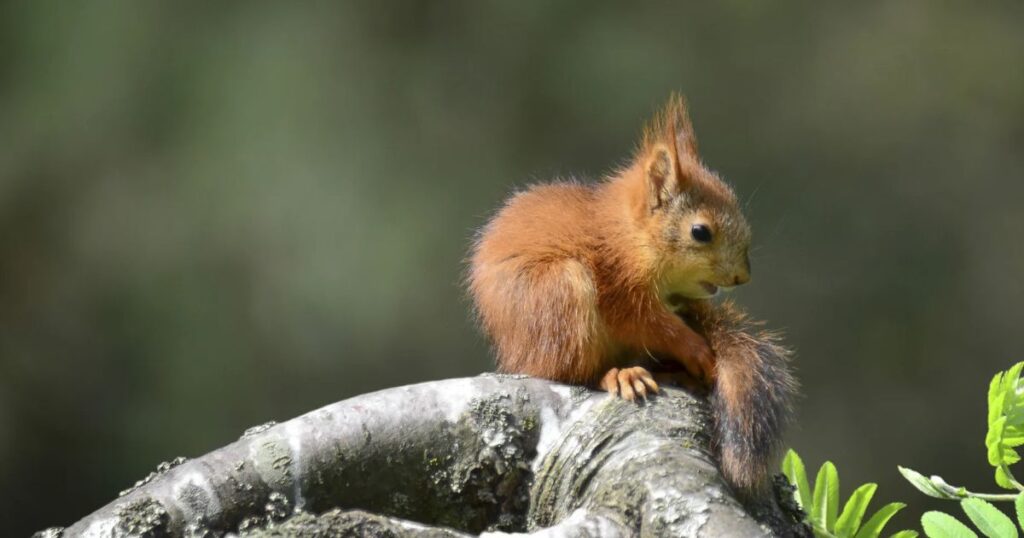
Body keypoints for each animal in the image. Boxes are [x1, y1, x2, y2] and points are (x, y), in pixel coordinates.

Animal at [468, 94, 794, 493]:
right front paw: (697, 349)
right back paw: (618, 374)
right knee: (570, 370)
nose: (742, 276)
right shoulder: (618, 284)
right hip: (559, 294)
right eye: (700, 232)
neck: (632, 236)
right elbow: (649, 324)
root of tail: (513, 356)